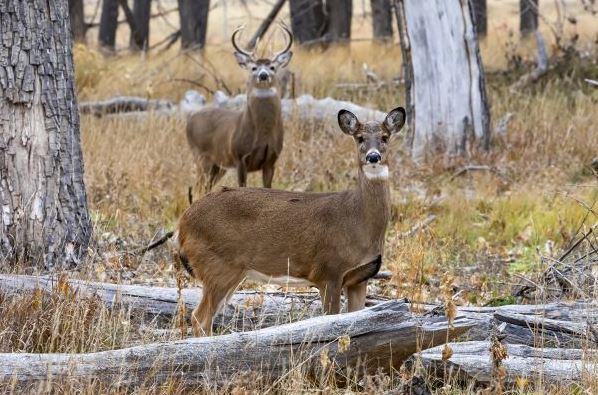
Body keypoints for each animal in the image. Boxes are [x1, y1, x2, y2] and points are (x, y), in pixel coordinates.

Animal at [173, 106, 408, 336]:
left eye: (385, 137)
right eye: (359, 138)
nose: (373, 157)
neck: (359, 220)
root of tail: (183, 223)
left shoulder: (360, 278)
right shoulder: (328, 271)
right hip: (218, 265)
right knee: (199, 318)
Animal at [185, 25, 292, 196]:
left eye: (272, 67)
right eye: (253, 68)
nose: (263, 75)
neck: (263, 133)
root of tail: (190, 119)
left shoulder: (271, 159)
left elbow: (268, 187)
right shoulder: (239, 156)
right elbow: (242, 186)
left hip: (218, 165)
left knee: (205, 187)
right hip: (200, 156)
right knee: (197, 189)